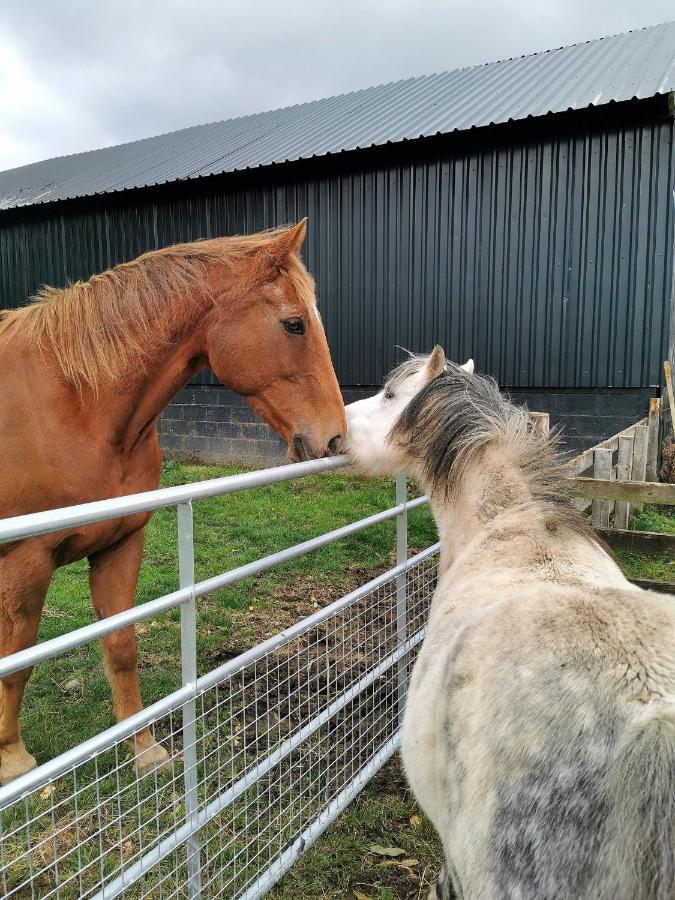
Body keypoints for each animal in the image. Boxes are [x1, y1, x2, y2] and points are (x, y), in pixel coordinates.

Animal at [0, 221, 346, 784]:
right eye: (294, 324)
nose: (337, 438)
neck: (74, 404)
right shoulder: (25, 562)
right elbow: (18, 658)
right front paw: (12, 759)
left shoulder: (121, 542)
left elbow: (121, 646)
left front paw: (142, 750)